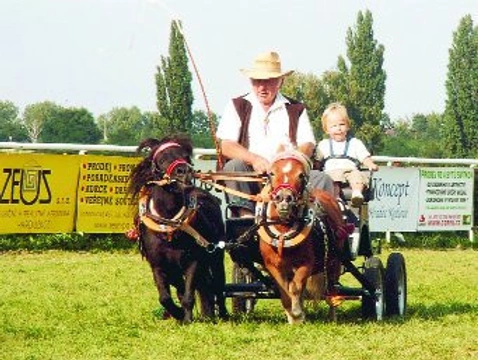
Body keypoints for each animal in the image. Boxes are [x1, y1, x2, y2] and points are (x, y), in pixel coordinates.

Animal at [128, 135, 229, 324]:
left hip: (216, 257)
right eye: (162, 160)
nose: (184, 171)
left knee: (218, 285)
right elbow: (166, 297)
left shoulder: (193, 261)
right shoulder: (159, 265)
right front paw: (178, 314)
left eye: (185, 156)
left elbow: (189, 294)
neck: (169, 229)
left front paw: (187, 318)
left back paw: (222, 314)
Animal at [258, 149, 348, 324]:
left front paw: (297, 313)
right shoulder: (273, 265)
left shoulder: (306, 263)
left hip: (334, 261)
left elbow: (295, 287)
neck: (283, 230)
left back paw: (332, 316)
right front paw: (293, 317)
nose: (284, 198)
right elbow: (285, 291)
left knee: (331, 288)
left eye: (301, 175)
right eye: (272, 173)